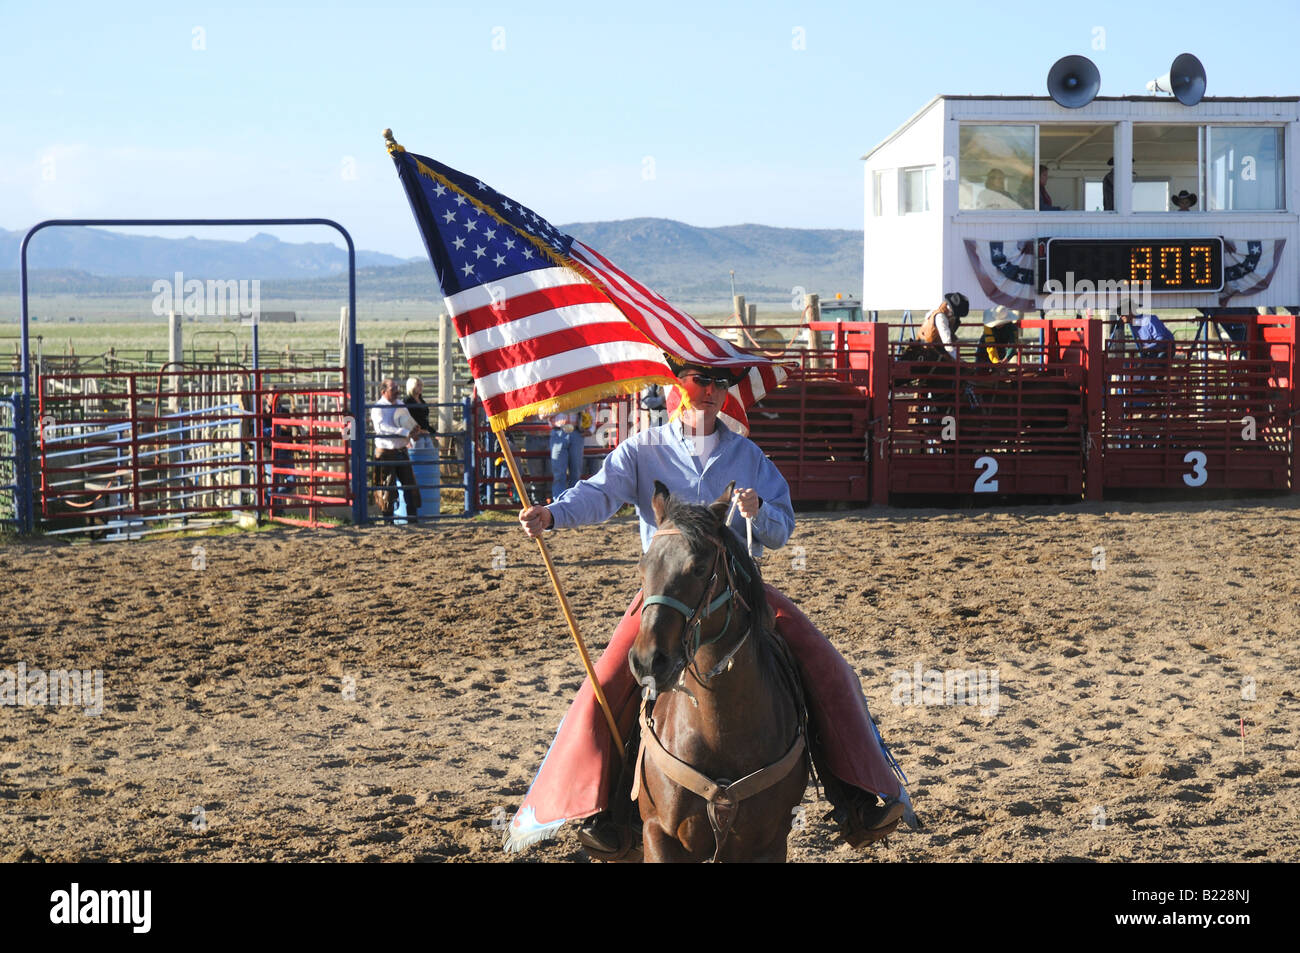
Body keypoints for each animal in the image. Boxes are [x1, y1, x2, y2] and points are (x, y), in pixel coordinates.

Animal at [626, 478, 806, 858]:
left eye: (698, 567)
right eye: (643, 567)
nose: (648, 660)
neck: (718, 732)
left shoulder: (770, 844)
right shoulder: (656, 833)